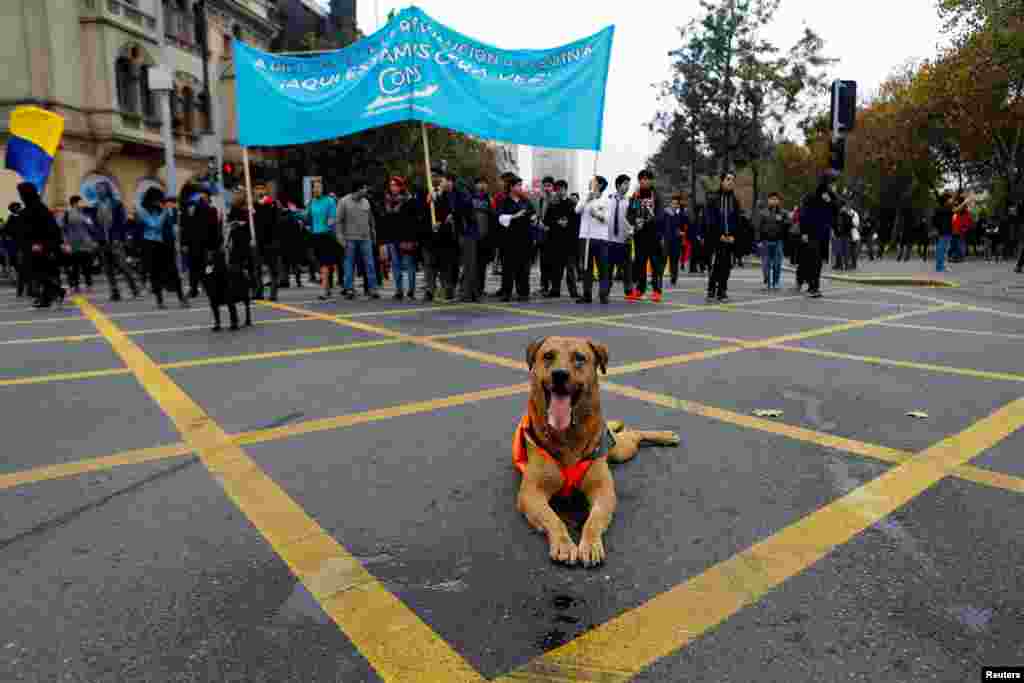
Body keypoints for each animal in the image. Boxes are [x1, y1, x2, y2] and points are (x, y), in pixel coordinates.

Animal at [512, 335, 679, 565]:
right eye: (548, 356)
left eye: (579, 358)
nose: (560, 374)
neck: (567, 436)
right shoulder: (531, 493)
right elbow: (553, 518)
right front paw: (564, 543)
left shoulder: (603, 490)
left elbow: (594, 519)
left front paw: (590, 544)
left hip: (621, 451)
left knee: (634, 434)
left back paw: (665, 436)